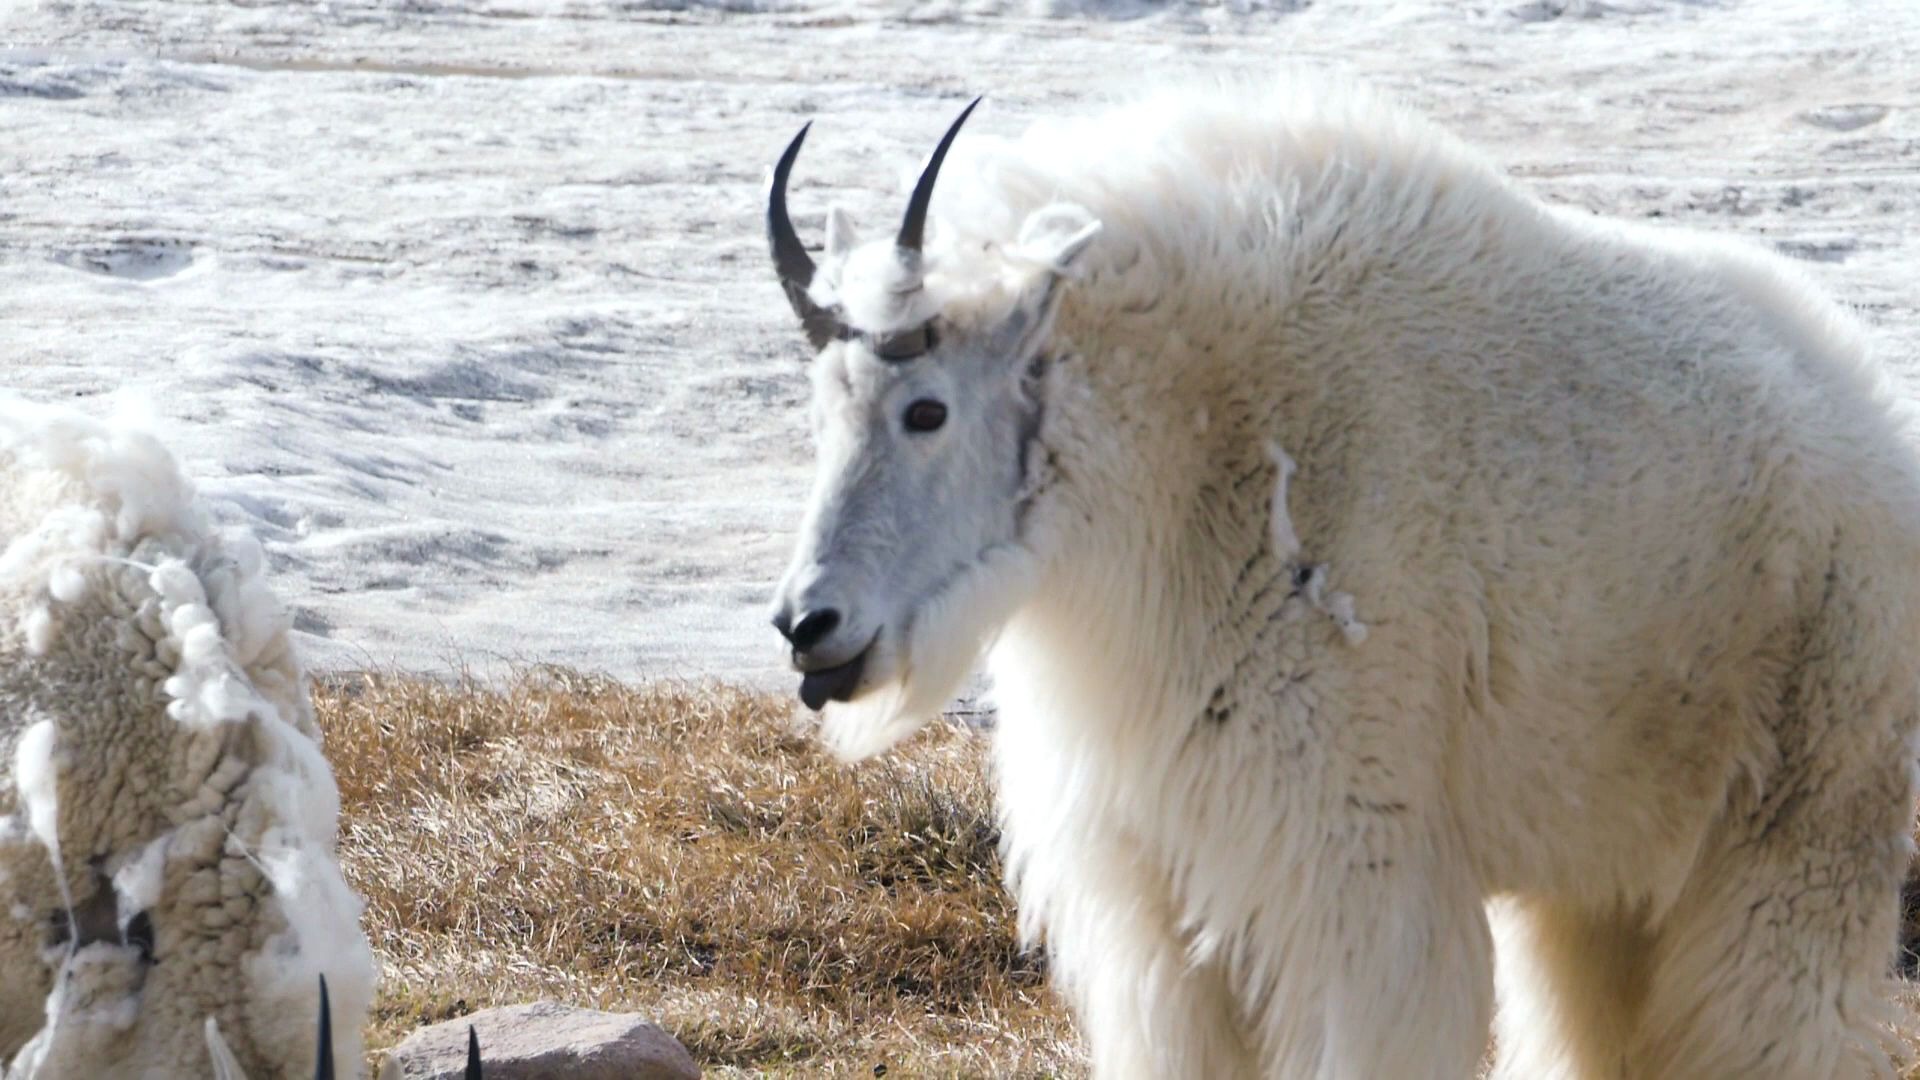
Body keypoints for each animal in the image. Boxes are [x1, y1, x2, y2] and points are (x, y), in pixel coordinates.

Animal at [760, 79, 1920, 1068]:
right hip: (1605, 872)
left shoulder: (1347, 862)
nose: (807, 626)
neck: (1189, 465)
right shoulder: (1154, 890)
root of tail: (1877, 436)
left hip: (1802, 817)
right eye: (820, 409)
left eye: (927, 410)